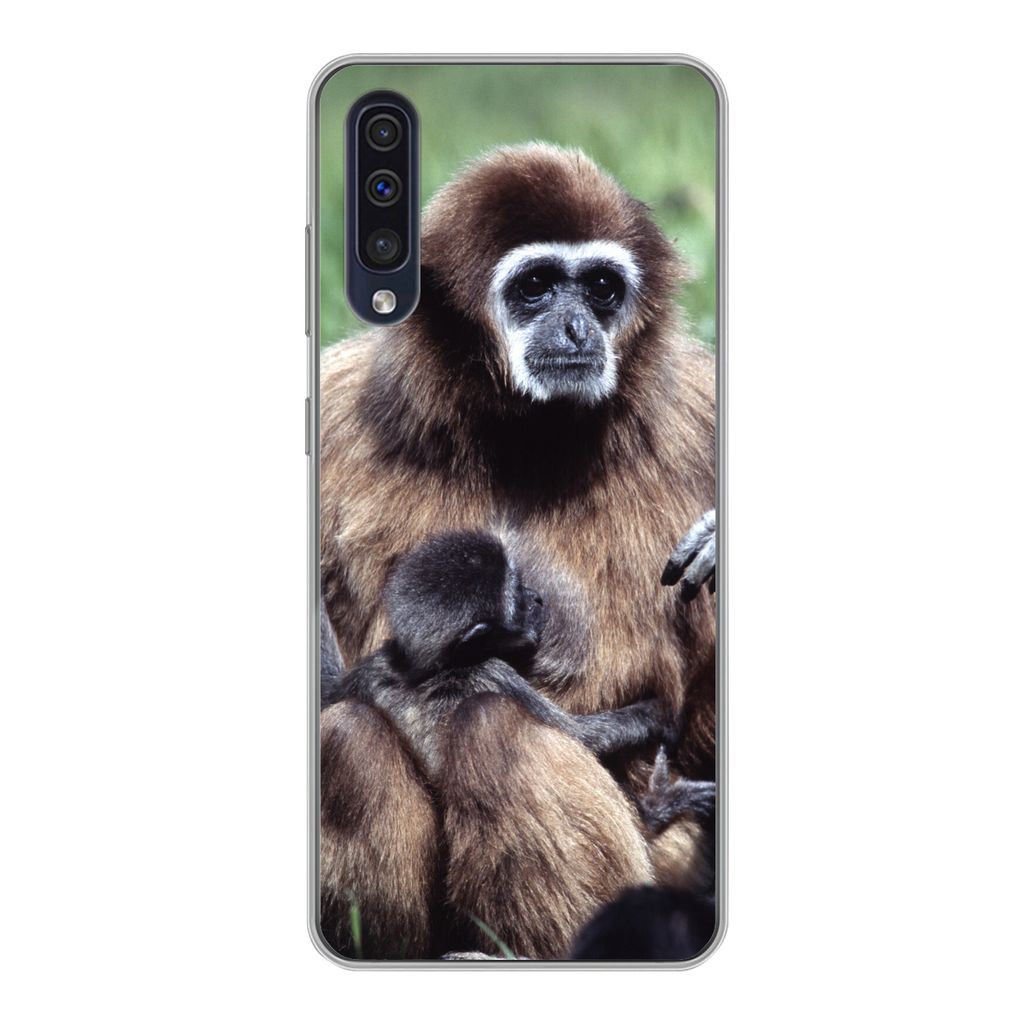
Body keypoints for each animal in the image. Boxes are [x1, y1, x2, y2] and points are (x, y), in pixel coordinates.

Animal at [319, 143, 718, 957]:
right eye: (535, 287)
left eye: (600, 288)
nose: (576, 328)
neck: (524, 441)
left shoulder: (701, 413)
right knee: (347, 737)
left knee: (494, 727)